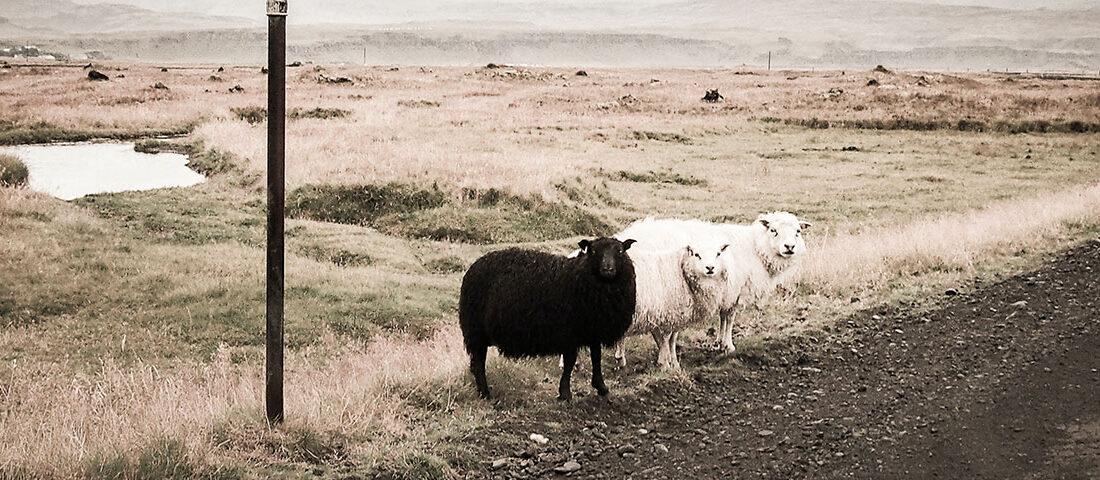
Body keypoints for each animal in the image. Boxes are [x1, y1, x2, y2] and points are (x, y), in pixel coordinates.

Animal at [462, 237, 638, 398]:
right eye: (594, 251)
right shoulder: (569, 332)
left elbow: (596, 357)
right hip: (475, 330)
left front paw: (601, 387)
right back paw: (485, 393)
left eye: (620, 251)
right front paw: (565, 393)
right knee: (478, 363)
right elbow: (569, 362)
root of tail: (473, 267)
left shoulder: (593, 329)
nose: (607, 269)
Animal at [620, 212, 809, 352]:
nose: (789, 247)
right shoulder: (734, 291)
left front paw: (718, 341)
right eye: (773, 230)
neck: (755, 248)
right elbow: (730, 317)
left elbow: (723, 316)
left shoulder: (726, 292)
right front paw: (728, 345)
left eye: (798, 231)